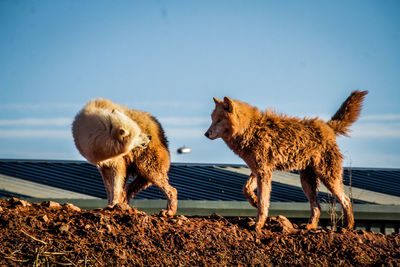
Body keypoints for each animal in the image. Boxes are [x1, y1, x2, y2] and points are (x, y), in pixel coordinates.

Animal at [205, 91, 368, 231]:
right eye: (212, 120)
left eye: (218, 120)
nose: (206, 134)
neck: (249, 130)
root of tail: (327, 126)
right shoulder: (258, 170)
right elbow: (246, 189)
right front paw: (254, 201)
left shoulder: (264, 171)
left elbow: (264, 201)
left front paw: (258, 224)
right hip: (307, 182)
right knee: (317, 206)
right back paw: (310, 226)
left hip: (327, 178)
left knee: (346, 200)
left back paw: (348, 226)